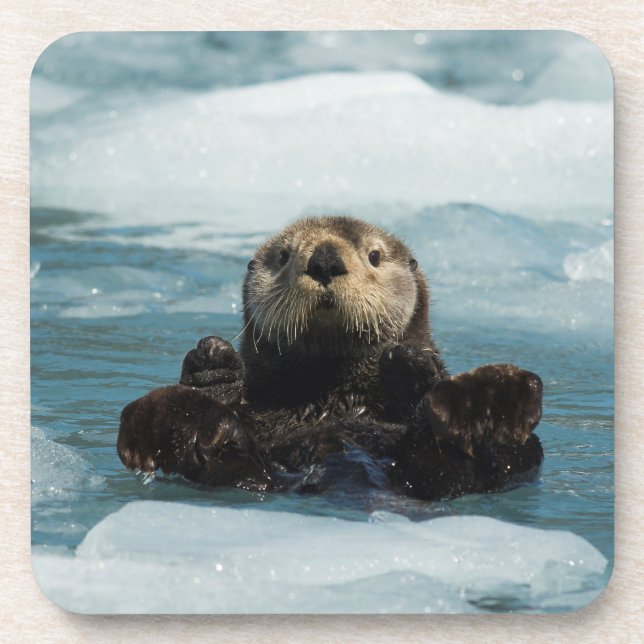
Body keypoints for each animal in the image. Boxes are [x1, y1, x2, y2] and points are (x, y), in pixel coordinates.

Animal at [117, 216, 543, 500]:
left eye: (375, 255)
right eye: (284, 255)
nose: (324, 260)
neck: (334, 396)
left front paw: (408, 364)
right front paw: (214, 366)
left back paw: (482, 401)